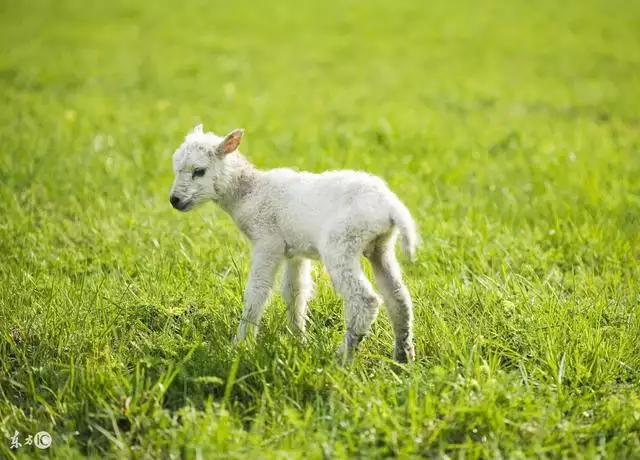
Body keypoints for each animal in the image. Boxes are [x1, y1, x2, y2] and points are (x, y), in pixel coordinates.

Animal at [169, 126, 420, 362]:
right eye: (176, 169)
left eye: (199, 171)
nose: (174, 200)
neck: (249, 192)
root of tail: (391, 206)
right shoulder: (295, 251)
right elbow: (295, 291)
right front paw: (298, 339)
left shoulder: (267, 242)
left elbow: (257, 291)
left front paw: (241, 344)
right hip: (380, 246)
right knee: (398, 297)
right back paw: (403, 357)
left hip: (341, 243)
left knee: (365, 301)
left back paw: (341, 359)